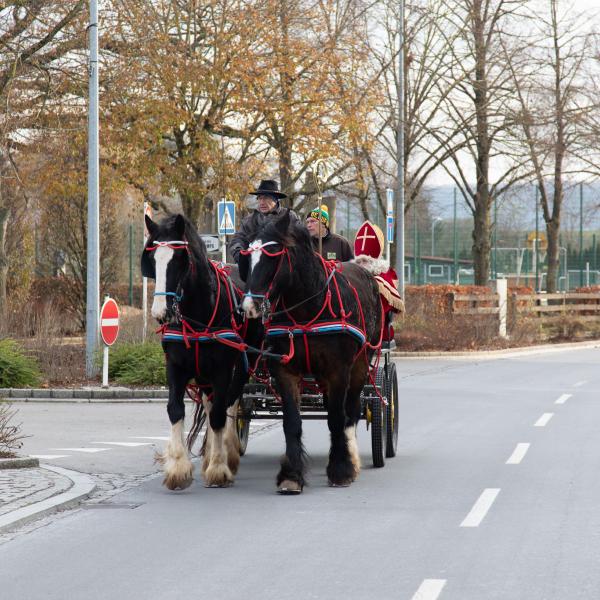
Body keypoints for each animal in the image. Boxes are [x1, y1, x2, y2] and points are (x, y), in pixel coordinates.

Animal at [142, 213, 248, 490]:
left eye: (180, 259)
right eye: (152, 260)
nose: (161, 312)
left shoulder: (223, 369)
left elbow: (220, 414)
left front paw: (219, 468)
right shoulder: (175, 366)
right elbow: (175, 410)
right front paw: (178, 467)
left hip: (241, 366)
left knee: (229, 403)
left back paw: (227, 454)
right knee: (212, 405)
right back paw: (210, 455)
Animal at [239, 210, 380, 492]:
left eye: (273, 256)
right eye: (247, 257)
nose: (249, 306)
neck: (308, 308)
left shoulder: (338, 371)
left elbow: (337, 418)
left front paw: (341, 469)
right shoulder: (285, 370)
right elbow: (292, 422)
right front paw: (291, 475)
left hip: (360, 366)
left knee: (351, 411)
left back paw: (351, 456)